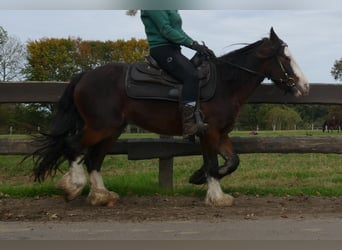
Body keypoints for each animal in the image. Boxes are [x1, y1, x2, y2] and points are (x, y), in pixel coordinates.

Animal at [28, 27, 308, 207]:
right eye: (285, 58)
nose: (304, 86)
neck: (225, 84)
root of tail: (84, 75)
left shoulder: (221, 134)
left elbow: (232, 161)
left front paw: (197, 177)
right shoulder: (208, 132)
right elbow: (212, 164)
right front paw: (216, 197)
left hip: (112, 129)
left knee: (93, 158)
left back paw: (101, 195)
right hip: (100, 127)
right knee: (73, 146)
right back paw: (73, 187)